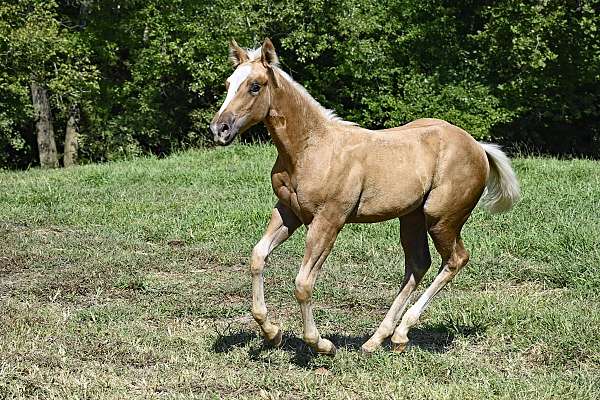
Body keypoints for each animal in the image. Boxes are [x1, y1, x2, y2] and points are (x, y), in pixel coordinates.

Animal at [211, 38, 520, 356]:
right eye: (228, 84)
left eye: (255, 86)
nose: (219, 129)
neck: (311, 149)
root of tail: (478, 146)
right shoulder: (288, 211)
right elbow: (258, 256)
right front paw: (271, 333)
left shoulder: (329, 220)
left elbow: (303, 283)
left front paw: (322, 344)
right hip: (411, 218)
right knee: (418, 265)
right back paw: (378, 339)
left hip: (441, 218)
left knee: (456, 259)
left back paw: (401, 332)